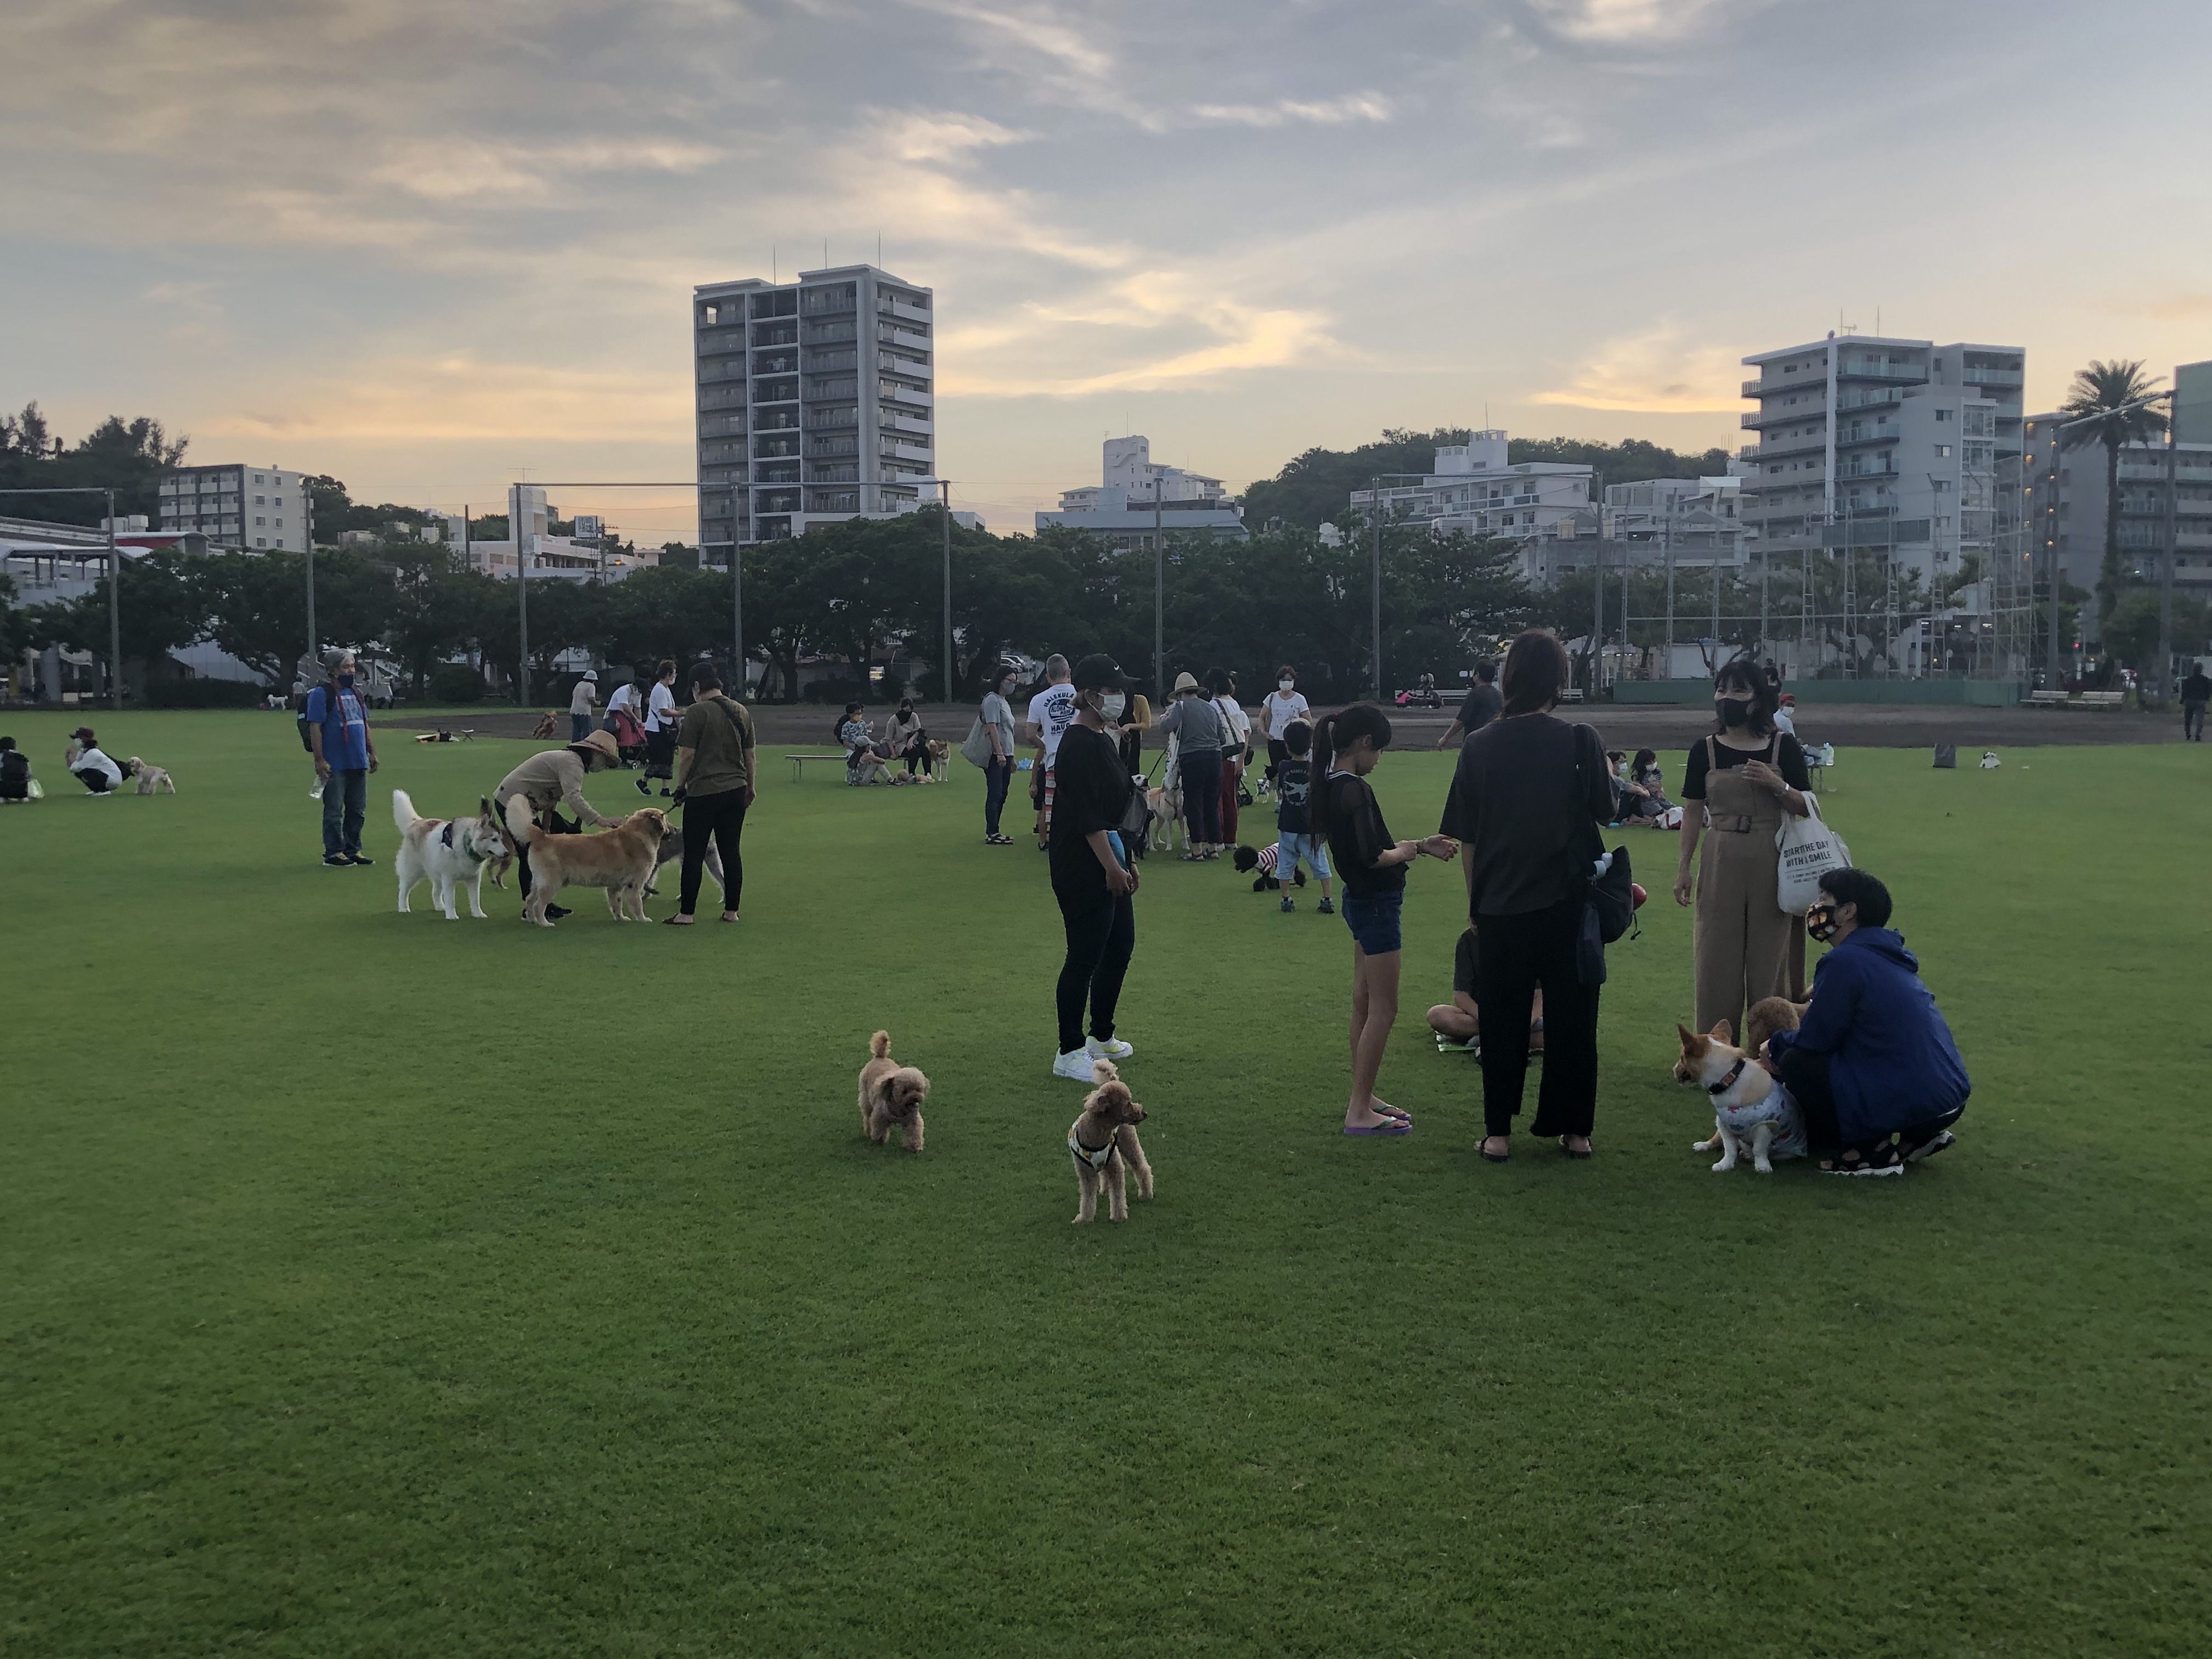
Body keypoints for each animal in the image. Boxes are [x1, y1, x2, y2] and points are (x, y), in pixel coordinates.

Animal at [393, 790, 514, 919]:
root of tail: (417, 822)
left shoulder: (474, 879)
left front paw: (478, 914)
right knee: (403, 890)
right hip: (413, 872)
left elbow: (475, 900)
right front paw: (451, 915)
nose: (507, 853)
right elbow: (451, 899)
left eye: (501, 839)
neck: (466, 845)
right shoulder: (449, 879)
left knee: (435, 892)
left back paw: (440, 907)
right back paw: (403, 908)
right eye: (494, 840)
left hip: (437, 873)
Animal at [501, 796, 667, 925]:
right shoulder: (635, 884)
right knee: (538, 905)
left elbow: (616, 904)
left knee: (530, 900)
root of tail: (543, 836)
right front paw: (643, 919)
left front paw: (621, 918)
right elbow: (638, 904)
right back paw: (544, 923)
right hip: (551, 883)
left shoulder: (615, 886)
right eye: (664, 817)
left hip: (538, 882)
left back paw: (532, 920)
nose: (670, 829)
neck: (640, 832)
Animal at [858, 1030, 930, 1153]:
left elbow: (914, 1134)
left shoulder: (913, 1120)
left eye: (918, 1089)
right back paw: (868, 1132)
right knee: (867, 1117)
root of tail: (880, 1056)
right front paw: (879, 1141)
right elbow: (879, 1129)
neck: (900, 1109)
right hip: (866, 1100)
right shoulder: (879, 1117)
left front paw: (915, 1147)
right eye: (905, 1091)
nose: (916, 1098)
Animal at [1067, 1058, 1153, 1223]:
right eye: (1128, 1103)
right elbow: (1087, 1197)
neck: (1097, 1133)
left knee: (1141, 1167)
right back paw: (1105, 1190)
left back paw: (1146, 1194)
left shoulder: (1115, 1167)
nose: (1144, 1113)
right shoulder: (1085, 1172)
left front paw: (1118, 1217)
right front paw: (1084, 1219)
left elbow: (1118, 1195)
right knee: (1104, 1173)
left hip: (1129, 1143)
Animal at [1675, 1019, 1808, 1174]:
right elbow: (1729, 1149)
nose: (1674, 1069)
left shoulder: (1764, 1127)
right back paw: (1704, 1145)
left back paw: (1748, 1155)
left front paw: (1762, 1166)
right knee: (1717, 1140)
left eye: (1682, 1058)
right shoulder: (1723, 1125)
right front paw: (1725, 1165)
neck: (1730, 1079)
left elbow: (1759, 1149)